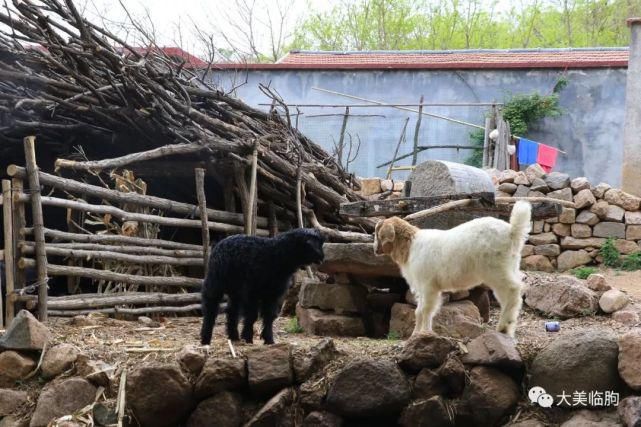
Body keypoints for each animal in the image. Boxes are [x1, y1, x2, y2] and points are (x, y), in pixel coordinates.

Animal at [376, 201, 528, 338]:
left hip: (496, 270)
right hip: (510, 267)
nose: (375, 250)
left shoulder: (428, 285)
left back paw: (504, 327)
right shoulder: (421, 287)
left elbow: (426, 310)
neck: (410, 246)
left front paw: (424, 333)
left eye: (379, 234)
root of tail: (512, 231)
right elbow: (418, 311)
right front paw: (416, 334)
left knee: (513, 290)